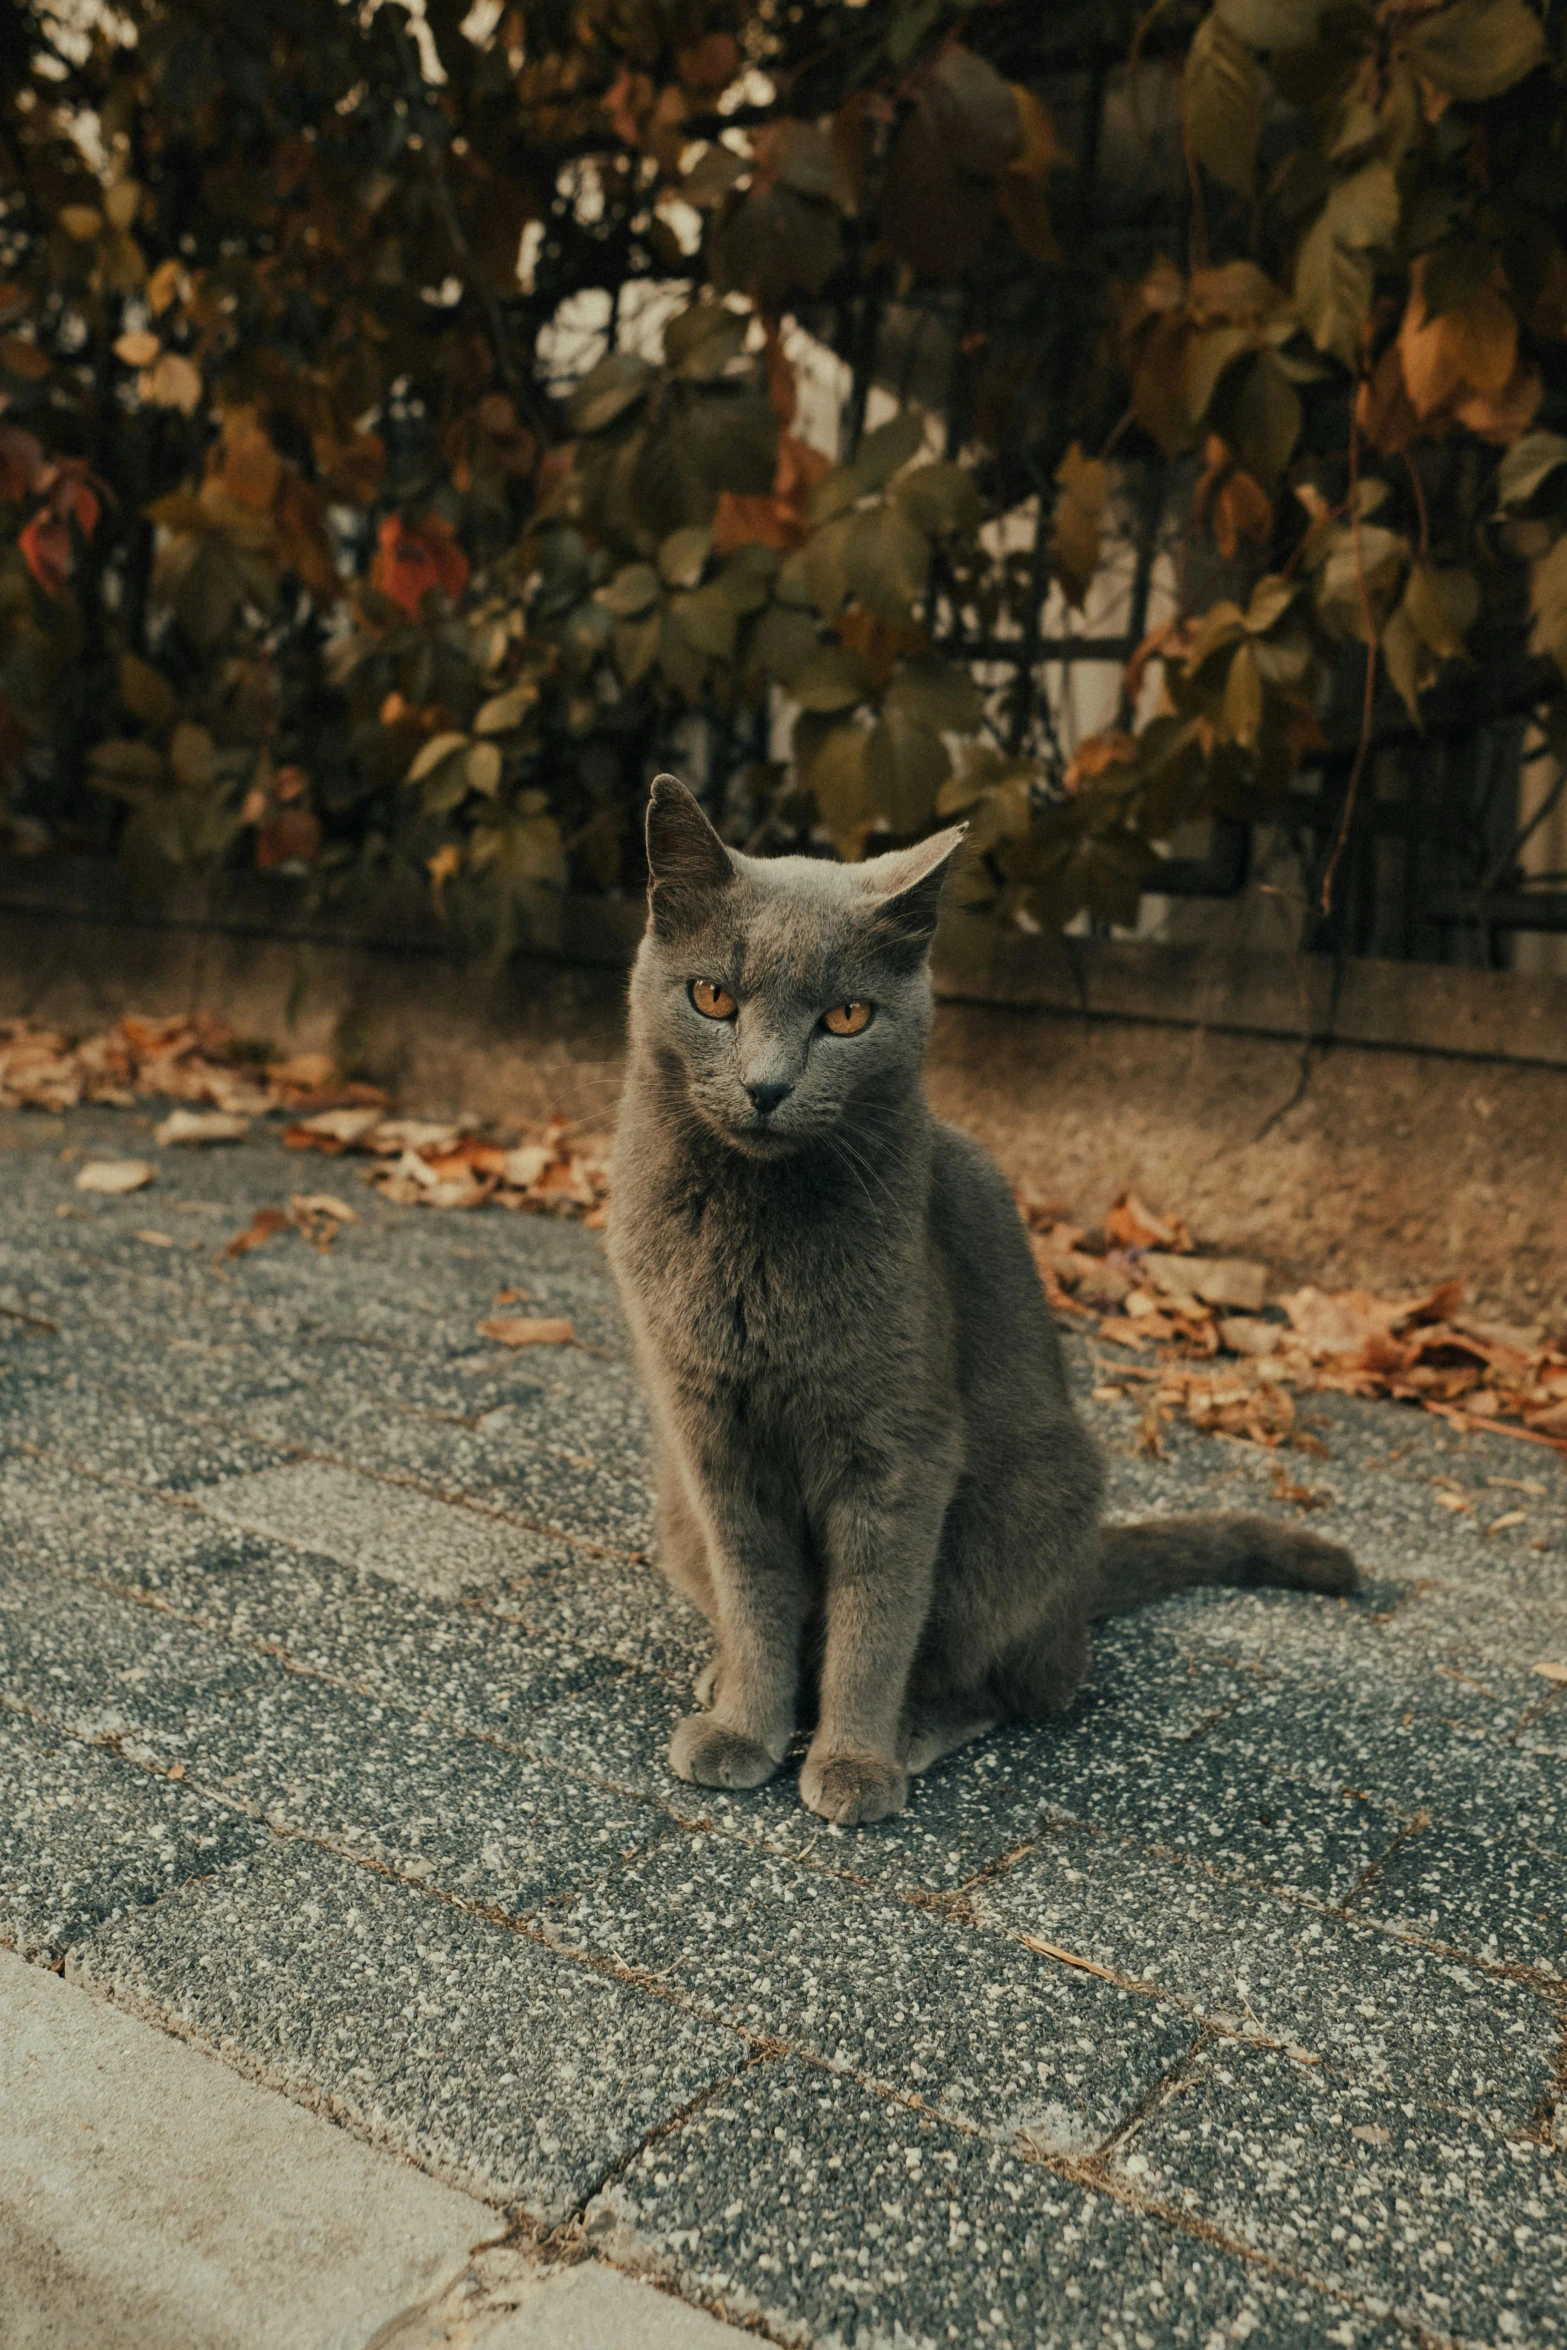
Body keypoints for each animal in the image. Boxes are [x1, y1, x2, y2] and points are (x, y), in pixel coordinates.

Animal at [606, 780, 1353, 1823]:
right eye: (712, 997)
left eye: (846, 1017)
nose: (766, 1086)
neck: (752, 1232)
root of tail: (1081, 1586)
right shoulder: (712, 1438)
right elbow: (757, 1596)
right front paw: (744, 1727)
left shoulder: (900, 1449)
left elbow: (876, 1617)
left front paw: (852, 1761)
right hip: (677, 1508)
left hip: (1028, 1502)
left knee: (1015, 1683)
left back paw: (915, 1729)